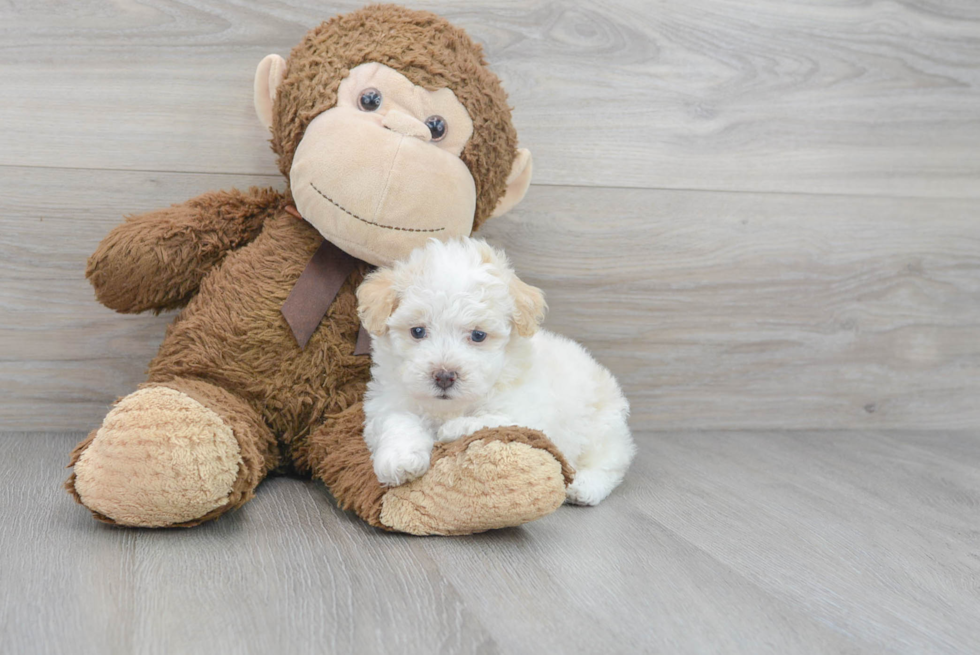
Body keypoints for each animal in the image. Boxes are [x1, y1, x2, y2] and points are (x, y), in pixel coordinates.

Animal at [358, 237, 636, 508]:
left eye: (478, 335)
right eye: (417, 331)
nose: (445, 376)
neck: (449, 408)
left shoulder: (530, 415)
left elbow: (493, 419)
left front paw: (453, 428)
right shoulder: (388, 401)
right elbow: (398, 421)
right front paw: (400, 460)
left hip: (601, 429)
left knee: (611, 463)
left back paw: (584, 487)